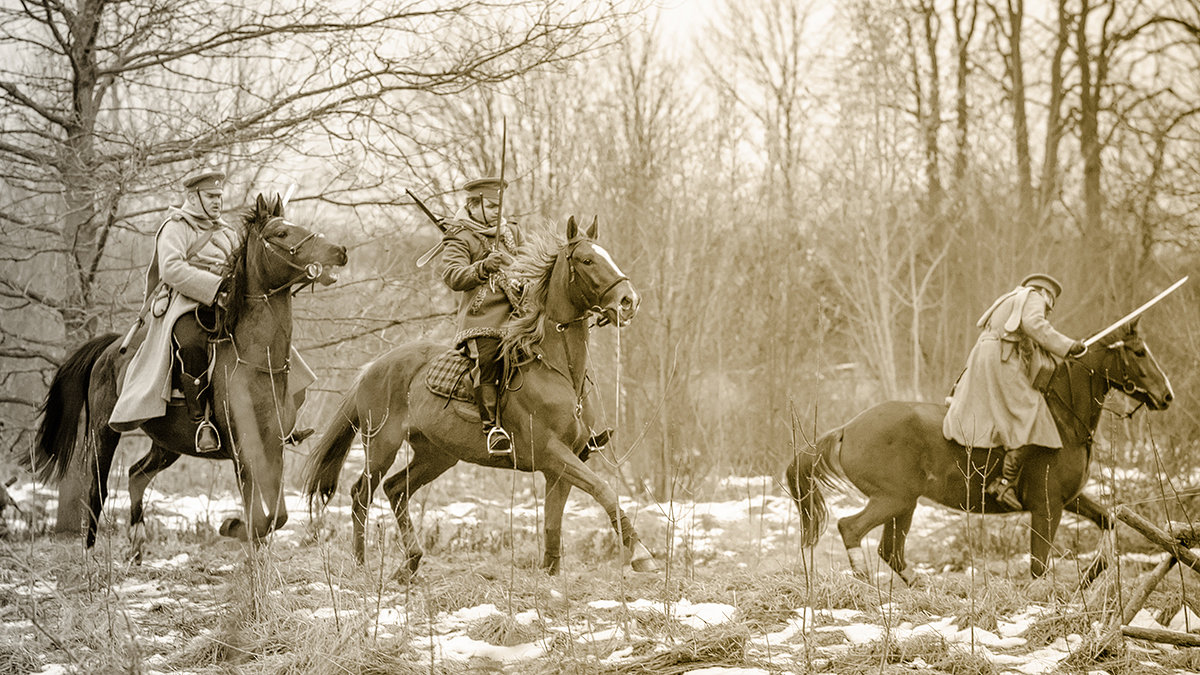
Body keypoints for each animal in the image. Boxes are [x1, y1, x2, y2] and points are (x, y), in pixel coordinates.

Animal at [30, 195, 348, 557]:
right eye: (281, 233)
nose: (338, 251)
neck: (256, 361)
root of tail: (111, 347)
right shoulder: (243, 451)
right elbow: (259, 515)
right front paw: (233, 528)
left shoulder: (273, 447)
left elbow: (275, 515)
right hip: (103, 432)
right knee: (97, 490)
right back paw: (91, 555)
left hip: (168, 442)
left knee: (137, 474)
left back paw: (137, 541)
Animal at [300, 216, 657, 578]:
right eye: (587, 260)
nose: (629, 301)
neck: (560, 369)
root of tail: (373, 367)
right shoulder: (552, 453)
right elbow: (604, 490)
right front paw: (641, 553)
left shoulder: (562, 465)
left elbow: (553, 522)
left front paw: (550, 572)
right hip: (381, 444)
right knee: (362, 493)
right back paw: (361, 565)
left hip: (437, 454)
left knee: (396, 489)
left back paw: (410, 562)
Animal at [787, 324, 1171, 581]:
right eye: (1139, 352)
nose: (1166, 396)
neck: (1064, 420)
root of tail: (847, 429)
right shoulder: (1047, 507)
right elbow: (1038, 565)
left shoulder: (1071, 499)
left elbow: (1109, 521)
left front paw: (1093, 573)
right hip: (892, 499)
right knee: (851, 529)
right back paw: (866, 581)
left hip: (904, 504)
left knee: (891, 552)